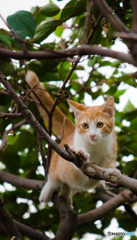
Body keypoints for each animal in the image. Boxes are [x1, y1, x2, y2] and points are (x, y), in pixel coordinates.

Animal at [25, 71, 116, 204]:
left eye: (100, 124)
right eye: (85, 125)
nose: (92, 135)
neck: (95, 146)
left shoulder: (111, 150)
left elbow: (108, 167)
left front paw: (111, 176)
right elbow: (75, 163)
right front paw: (81, 154)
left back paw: (66, 194)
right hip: (57, 163)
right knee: (55, 176)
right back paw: (49, 188)